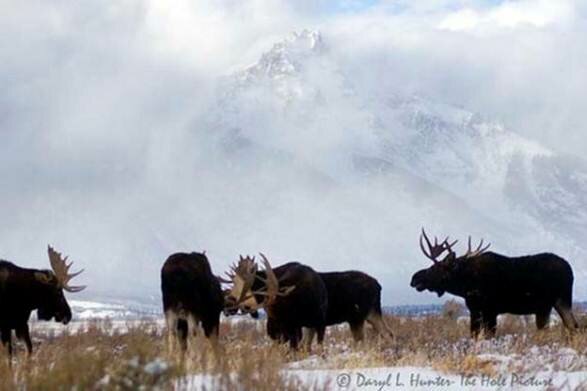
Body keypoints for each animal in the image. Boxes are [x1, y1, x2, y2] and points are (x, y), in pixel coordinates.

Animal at [412, 230, 580, 336]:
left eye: (435, 267)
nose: (414, 278)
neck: (465, 285)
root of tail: (571, 270)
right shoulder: (476, 310)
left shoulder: (489, 310)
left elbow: (488, 335)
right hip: (557, 303)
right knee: (572, 326)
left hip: (548, 304)